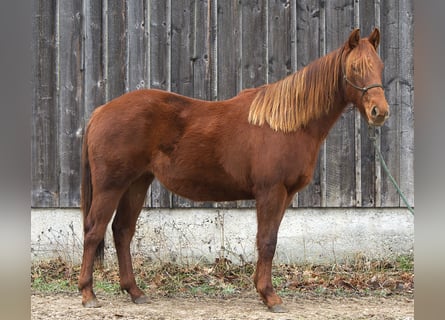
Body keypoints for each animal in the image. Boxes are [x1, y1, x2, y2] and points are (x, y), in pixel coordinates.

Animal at [79, 27, 388, 312]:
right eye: (355, 68)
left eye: (380, 66)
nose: (379, 112)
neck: (286, 124)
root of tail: (100, 112)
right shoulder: (270, 192)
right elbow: (266, 241)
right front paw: (270, 296)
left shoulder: (284, 195)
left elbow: (270, 241)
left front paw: (263, 291)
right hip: (111, 186)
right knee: (94, 231)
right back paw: (88, 293)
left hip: (137, 183)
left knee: (122, 231)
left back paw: (134, 291)